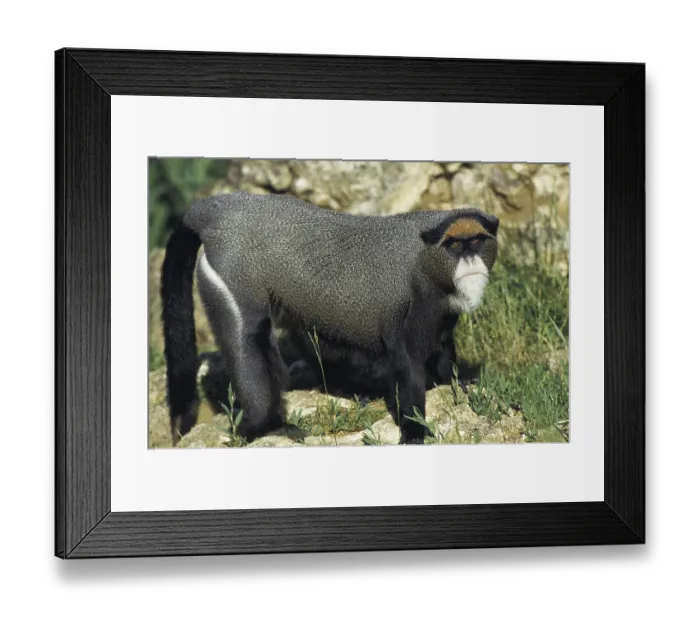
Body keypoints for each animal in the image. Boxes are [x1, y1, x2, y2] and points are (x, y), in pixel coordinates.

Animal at [161, 190, 499, 446]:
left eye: (476, 240)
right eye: (454, 245)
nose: (470, 258)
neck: (427, 262)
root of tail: (217, 209)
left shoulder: (442, 315)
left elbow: (443, 350)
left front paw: (458, 381)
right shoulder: (404, 312)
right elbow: (409, 366)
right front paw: (414, 431)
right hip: (231, 281)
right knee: (250, 338)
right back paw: (264, 425)